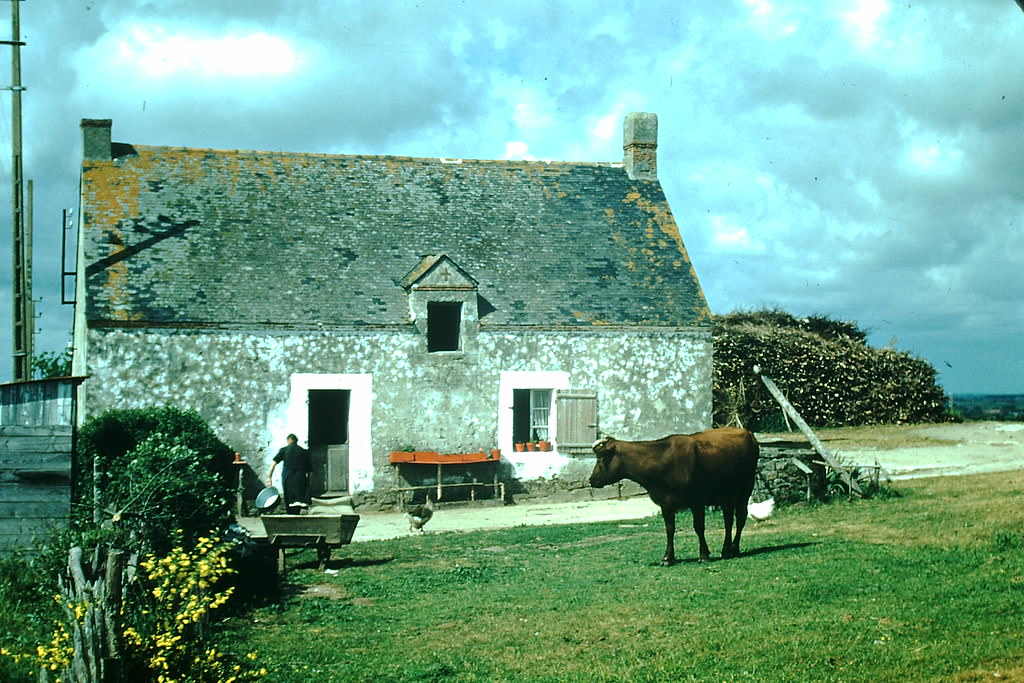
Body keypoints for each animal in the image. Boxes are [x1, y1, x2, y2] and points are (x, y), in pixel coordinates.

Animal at [593, 428, 761, 565]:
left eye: (600, 460)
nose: (591, 480)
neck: (663, 460)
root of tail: (748, 433)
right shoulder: (666, 504)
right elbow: (670, 529)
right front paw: (668, 558)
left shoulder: (697, 501)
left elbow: (699, 527)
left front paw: (704, 555)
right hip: (726, 495)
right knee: (728, 519)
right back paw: (726, 550)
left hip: (745, 489)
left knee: (740, 517)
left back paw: (734, 549)